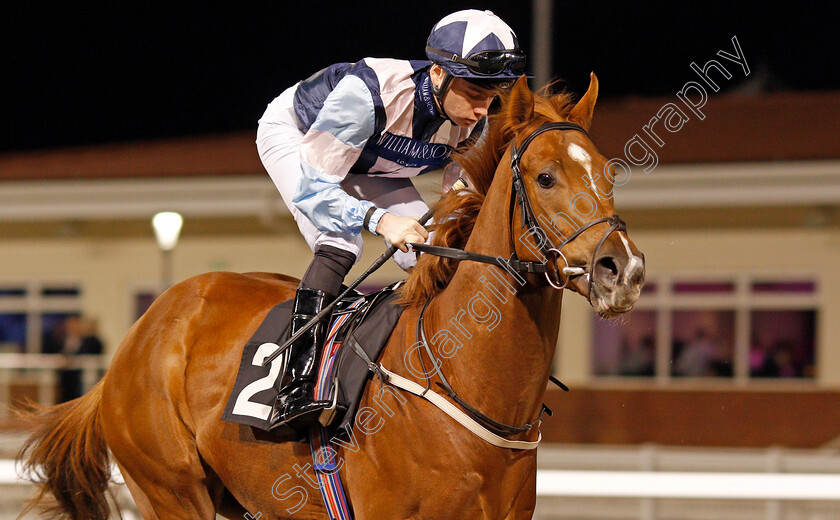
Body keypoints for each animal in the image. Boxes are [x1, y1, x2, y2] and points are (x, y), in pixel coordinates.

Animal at [19, 74, 648, 520]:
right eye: (545, 177)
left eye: (608, 176)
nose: (624, 269)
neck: (459, 378)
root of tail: (139, 335)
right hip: (169, 490)